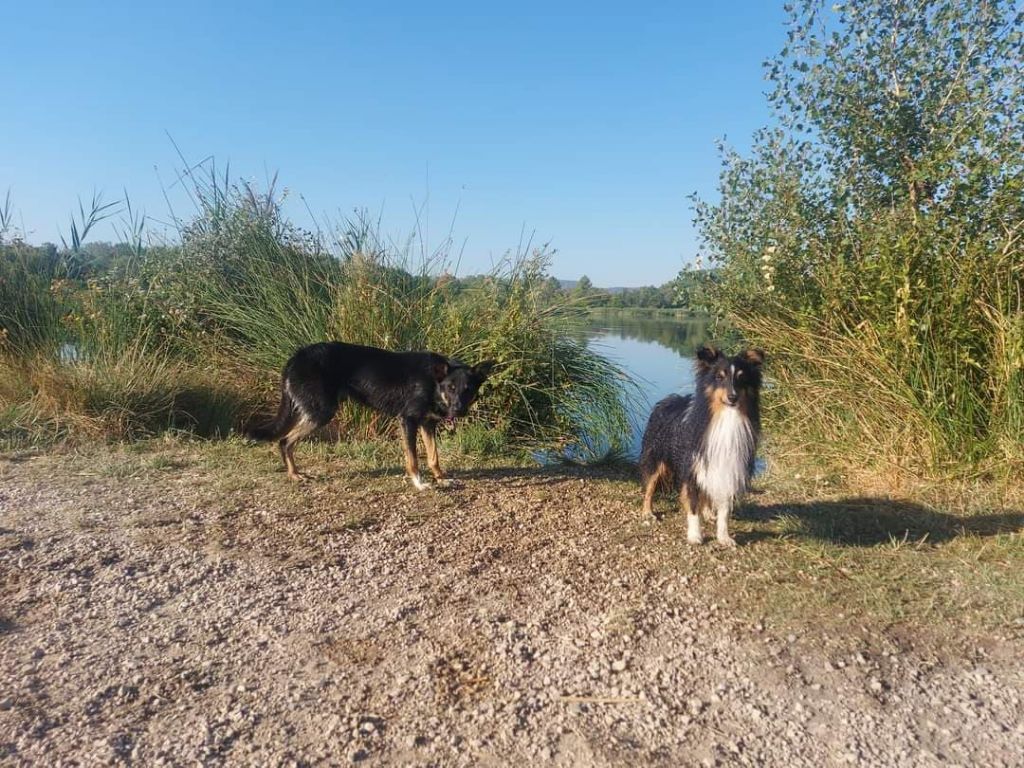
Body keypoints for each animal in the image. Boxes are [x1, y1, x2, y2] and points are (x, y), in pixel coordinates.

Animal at [249, 342, 493, 487]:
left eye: (468, 389)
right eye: (450, 388)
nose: (458, 410)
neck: (433, 382)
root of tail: (295, 358)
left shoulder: (427, 424)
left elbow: (434, 457)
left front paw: (441, 479)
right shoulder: (408, 421)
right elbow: (413, 459)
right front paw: (419, 483)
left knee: (286, 441)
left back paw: (294, 473)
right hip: (321, 412)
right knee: (285, 441)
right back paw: (294, 474)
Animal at [634, 346, 765, 548]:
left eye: (741, 378)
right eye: (719, 377)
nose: (732, 397)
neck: (725, 417)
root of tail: (667, 400)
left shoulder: (729, 467)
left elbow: (724, 510)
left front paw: (724, 537)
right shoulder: (692, 469)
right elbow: (693, 505)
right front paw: (695, 536)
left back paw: (709, 513)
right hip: (655, 457)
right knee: (650, 486)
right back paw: (647, 513)